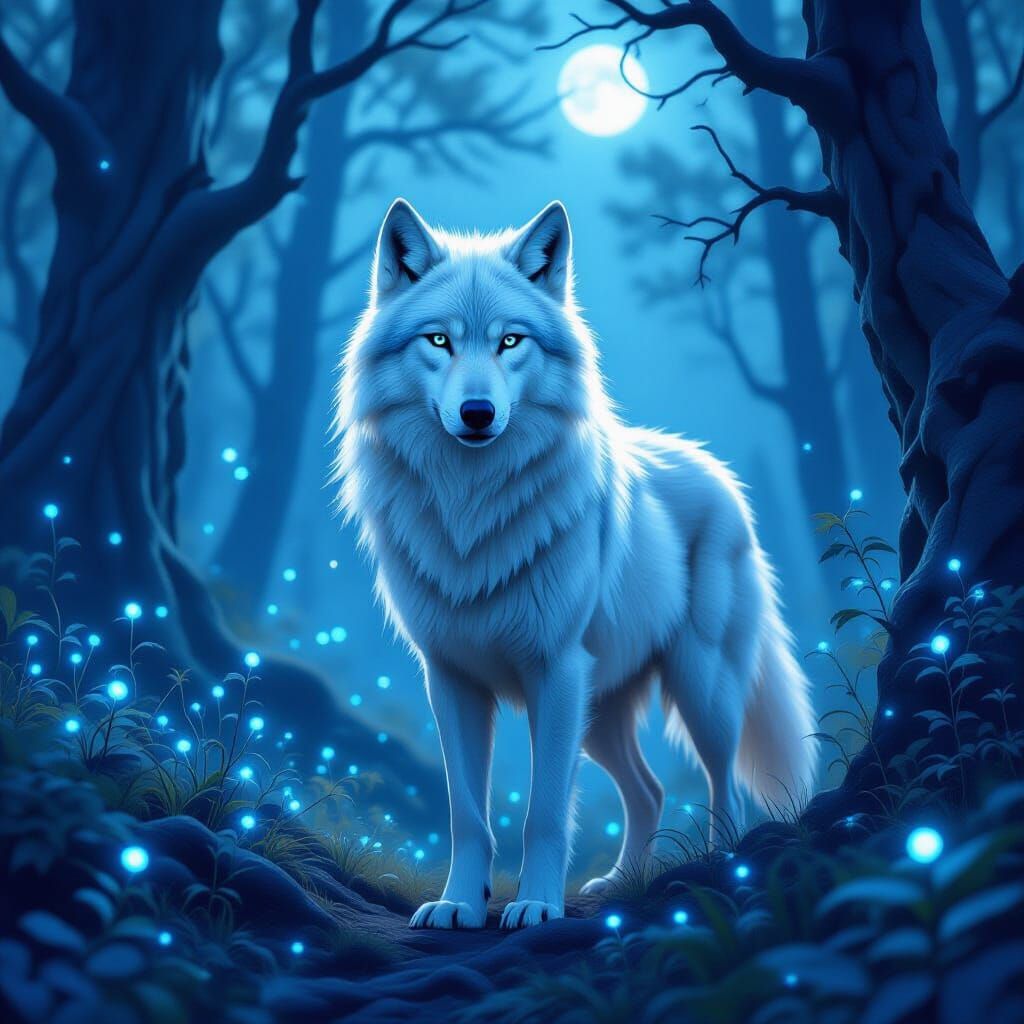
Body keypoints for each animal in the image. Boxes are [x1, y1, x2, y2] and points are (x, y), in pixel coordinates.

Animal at [332, 199, 817, 931]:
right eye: (439, 341)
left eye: (510, 342)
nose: (478, 413)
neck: (472, 514)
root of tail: (719, 472)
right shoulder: (449, 680)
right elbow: (467, 814)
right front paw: (458, 904)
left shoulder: (554, 672)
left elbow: (544, 812)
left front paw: (534, 904)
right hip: (603, 711)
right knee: (648, 791)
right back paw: (623, 883)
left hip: (698, 687)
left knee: (723, 784)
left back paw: (716, 868)